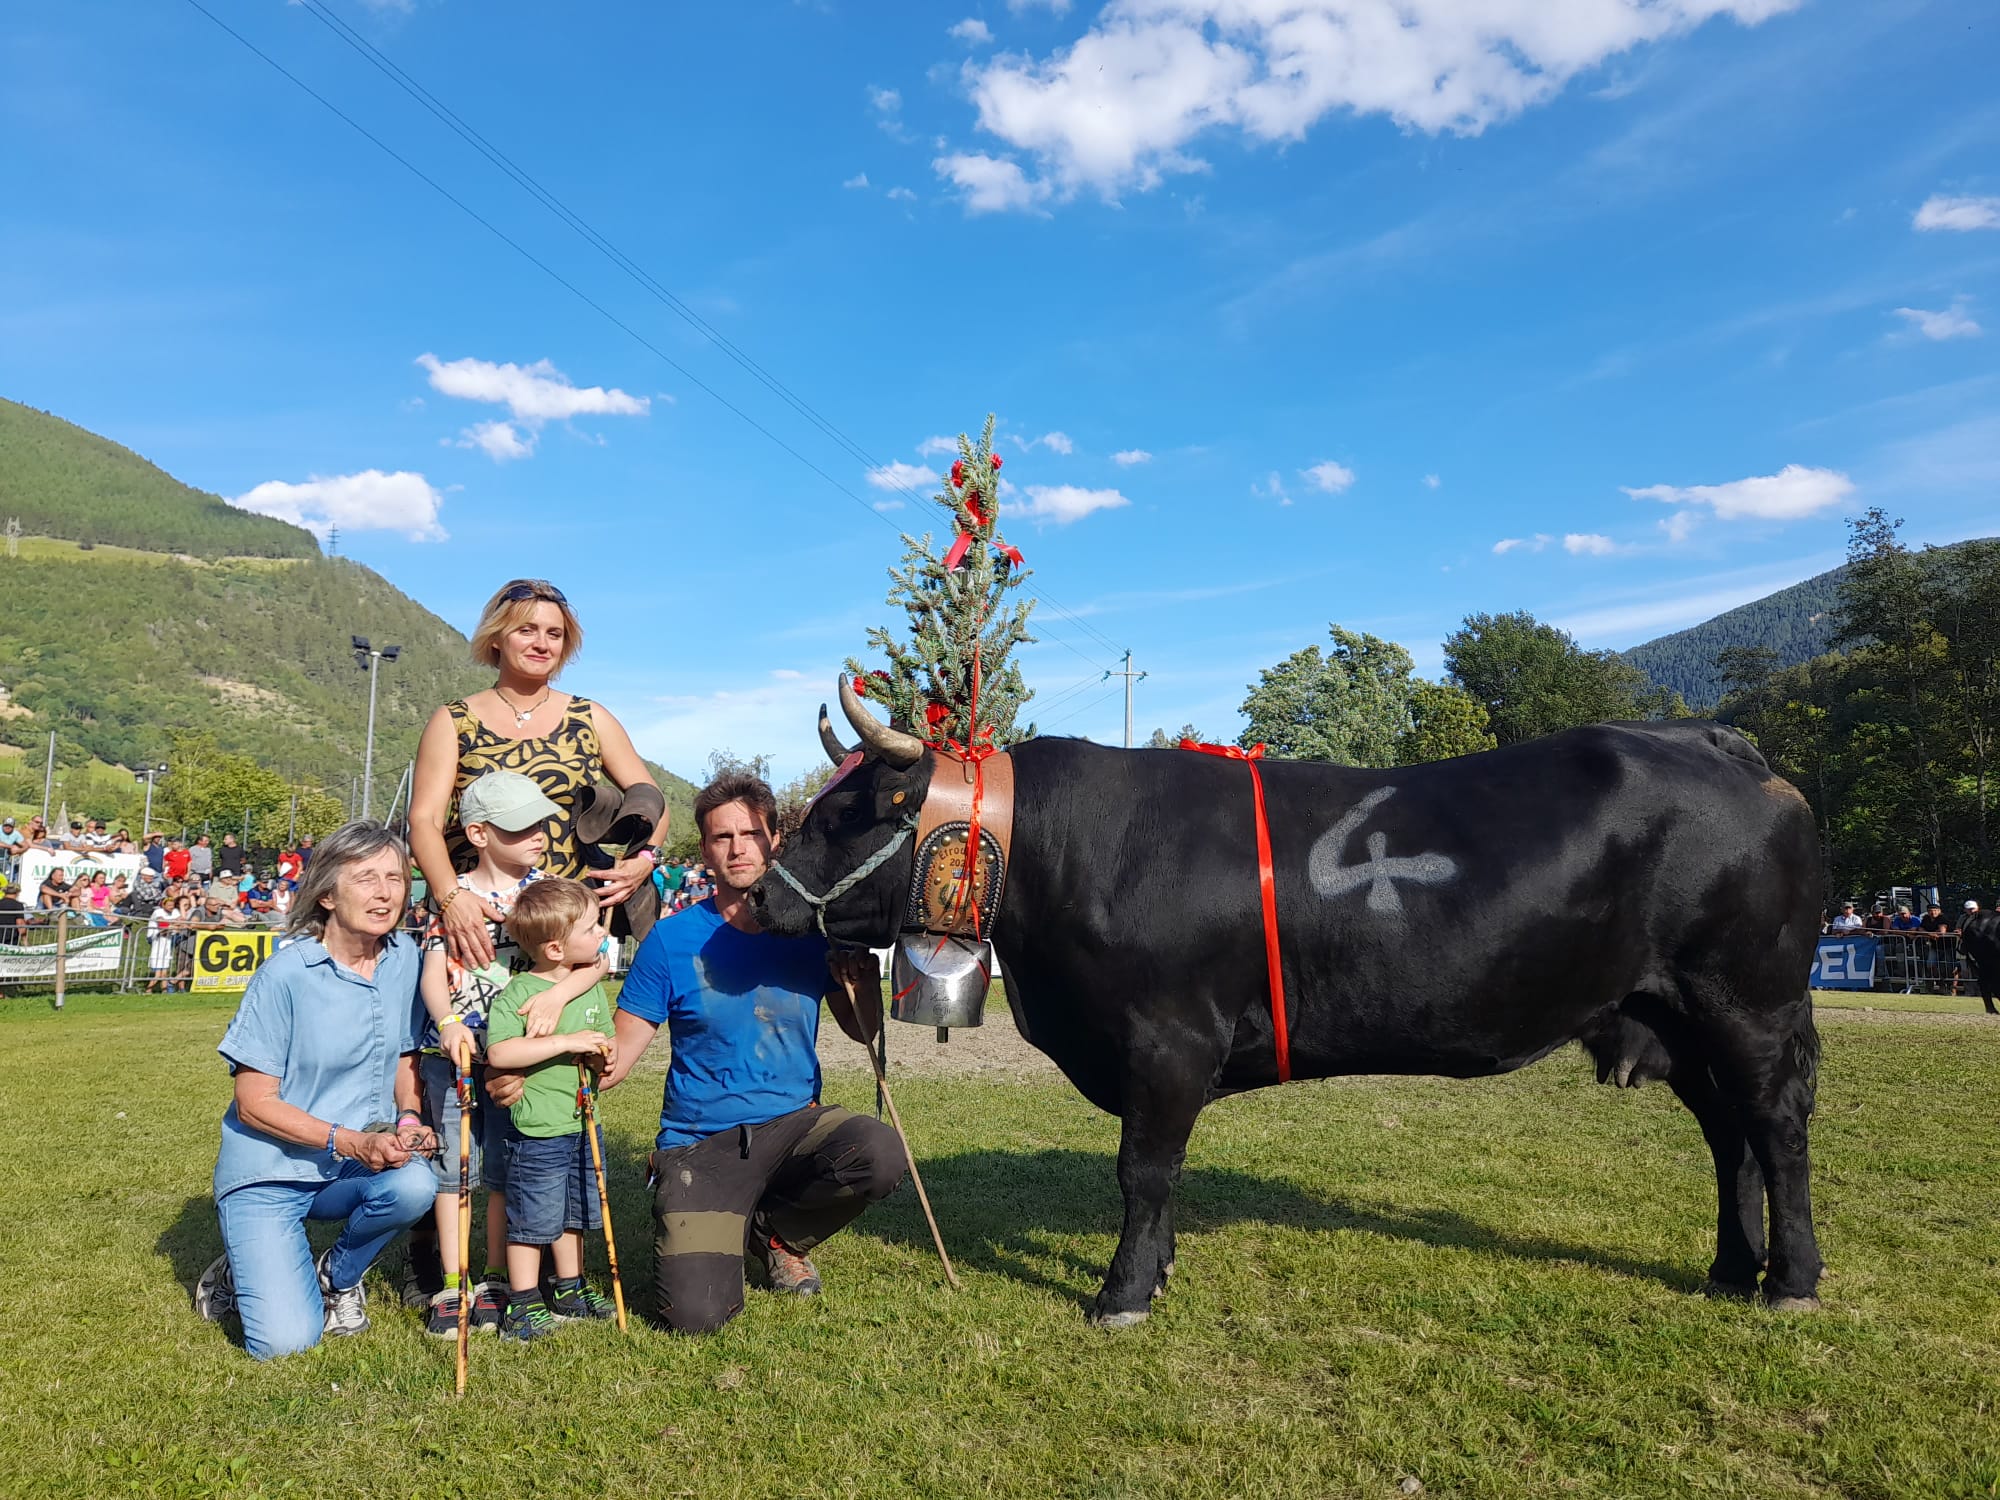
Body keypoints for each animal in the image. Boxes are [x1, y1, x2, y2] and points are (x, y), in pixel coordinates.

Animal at [752, 688, 1832, 1336]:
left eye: (841, 812)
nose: (754, 896)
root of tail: (1711, 738)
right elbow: (1161, 1179)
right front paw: (1161, 1270)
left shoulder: (1167, 1040)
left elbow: (1143, 1171)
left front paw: (1123, 1293)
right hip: (1669, 1011)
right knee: (1727, 1134)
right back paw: (1730, 1267)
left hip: (1748, 1000)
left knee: (1774, 1129)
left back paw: (1791, 1280)